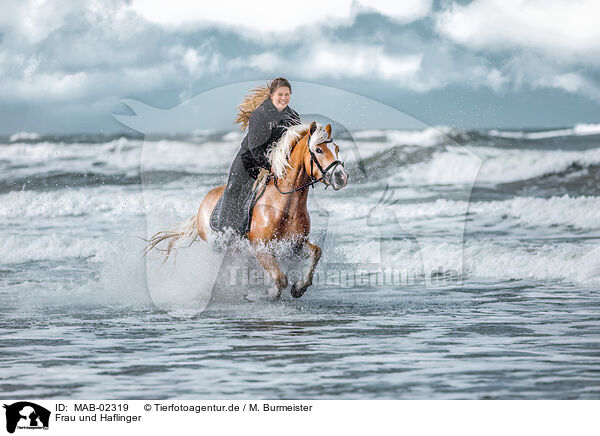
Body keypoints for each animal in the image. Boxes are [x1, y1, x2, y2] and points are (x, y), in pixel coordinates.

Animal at [146, 122, 350, 300]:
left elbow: (316, 252)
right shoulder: (260, 248)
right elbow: (280, 279)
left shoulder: (294, 245)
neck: (284, 205)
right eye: (319, 150)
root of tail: (203, 204)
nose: (342, 177)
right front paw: (265, 294)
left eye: (337, 148)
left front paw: (299, 288)